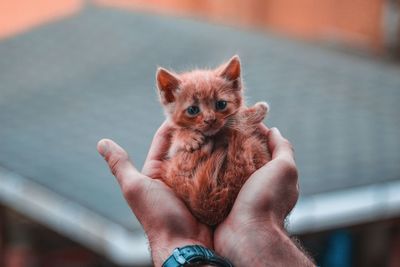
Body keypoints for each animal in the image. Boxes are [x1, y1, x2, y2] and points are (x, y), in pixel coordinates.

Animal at [155, 56, 270, 226]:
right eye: (192, 110)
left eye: (221, 104)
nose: (210, 120)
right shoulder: (172, 151)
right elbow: (177, 139)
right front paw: (188, 137)